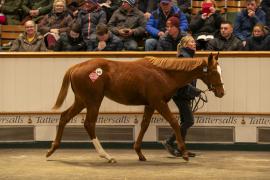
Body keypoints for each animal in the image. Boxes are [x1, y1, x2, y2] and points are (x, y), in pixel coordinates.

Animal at [47, 53, 226, 163]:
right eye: (213, 72)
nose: (221, 92)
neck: (163, 73)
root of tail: (75, 67)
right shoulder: (159, 102)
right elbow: (174, 122)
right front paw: (184, 153)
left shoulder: (150, 104)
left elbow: (144, 125)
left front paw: (140, 153)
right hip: (93, 101)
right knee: (89, 124)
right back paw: (107, 156)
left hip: (81, 101)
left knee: (64, 117)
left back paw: (52, 150)